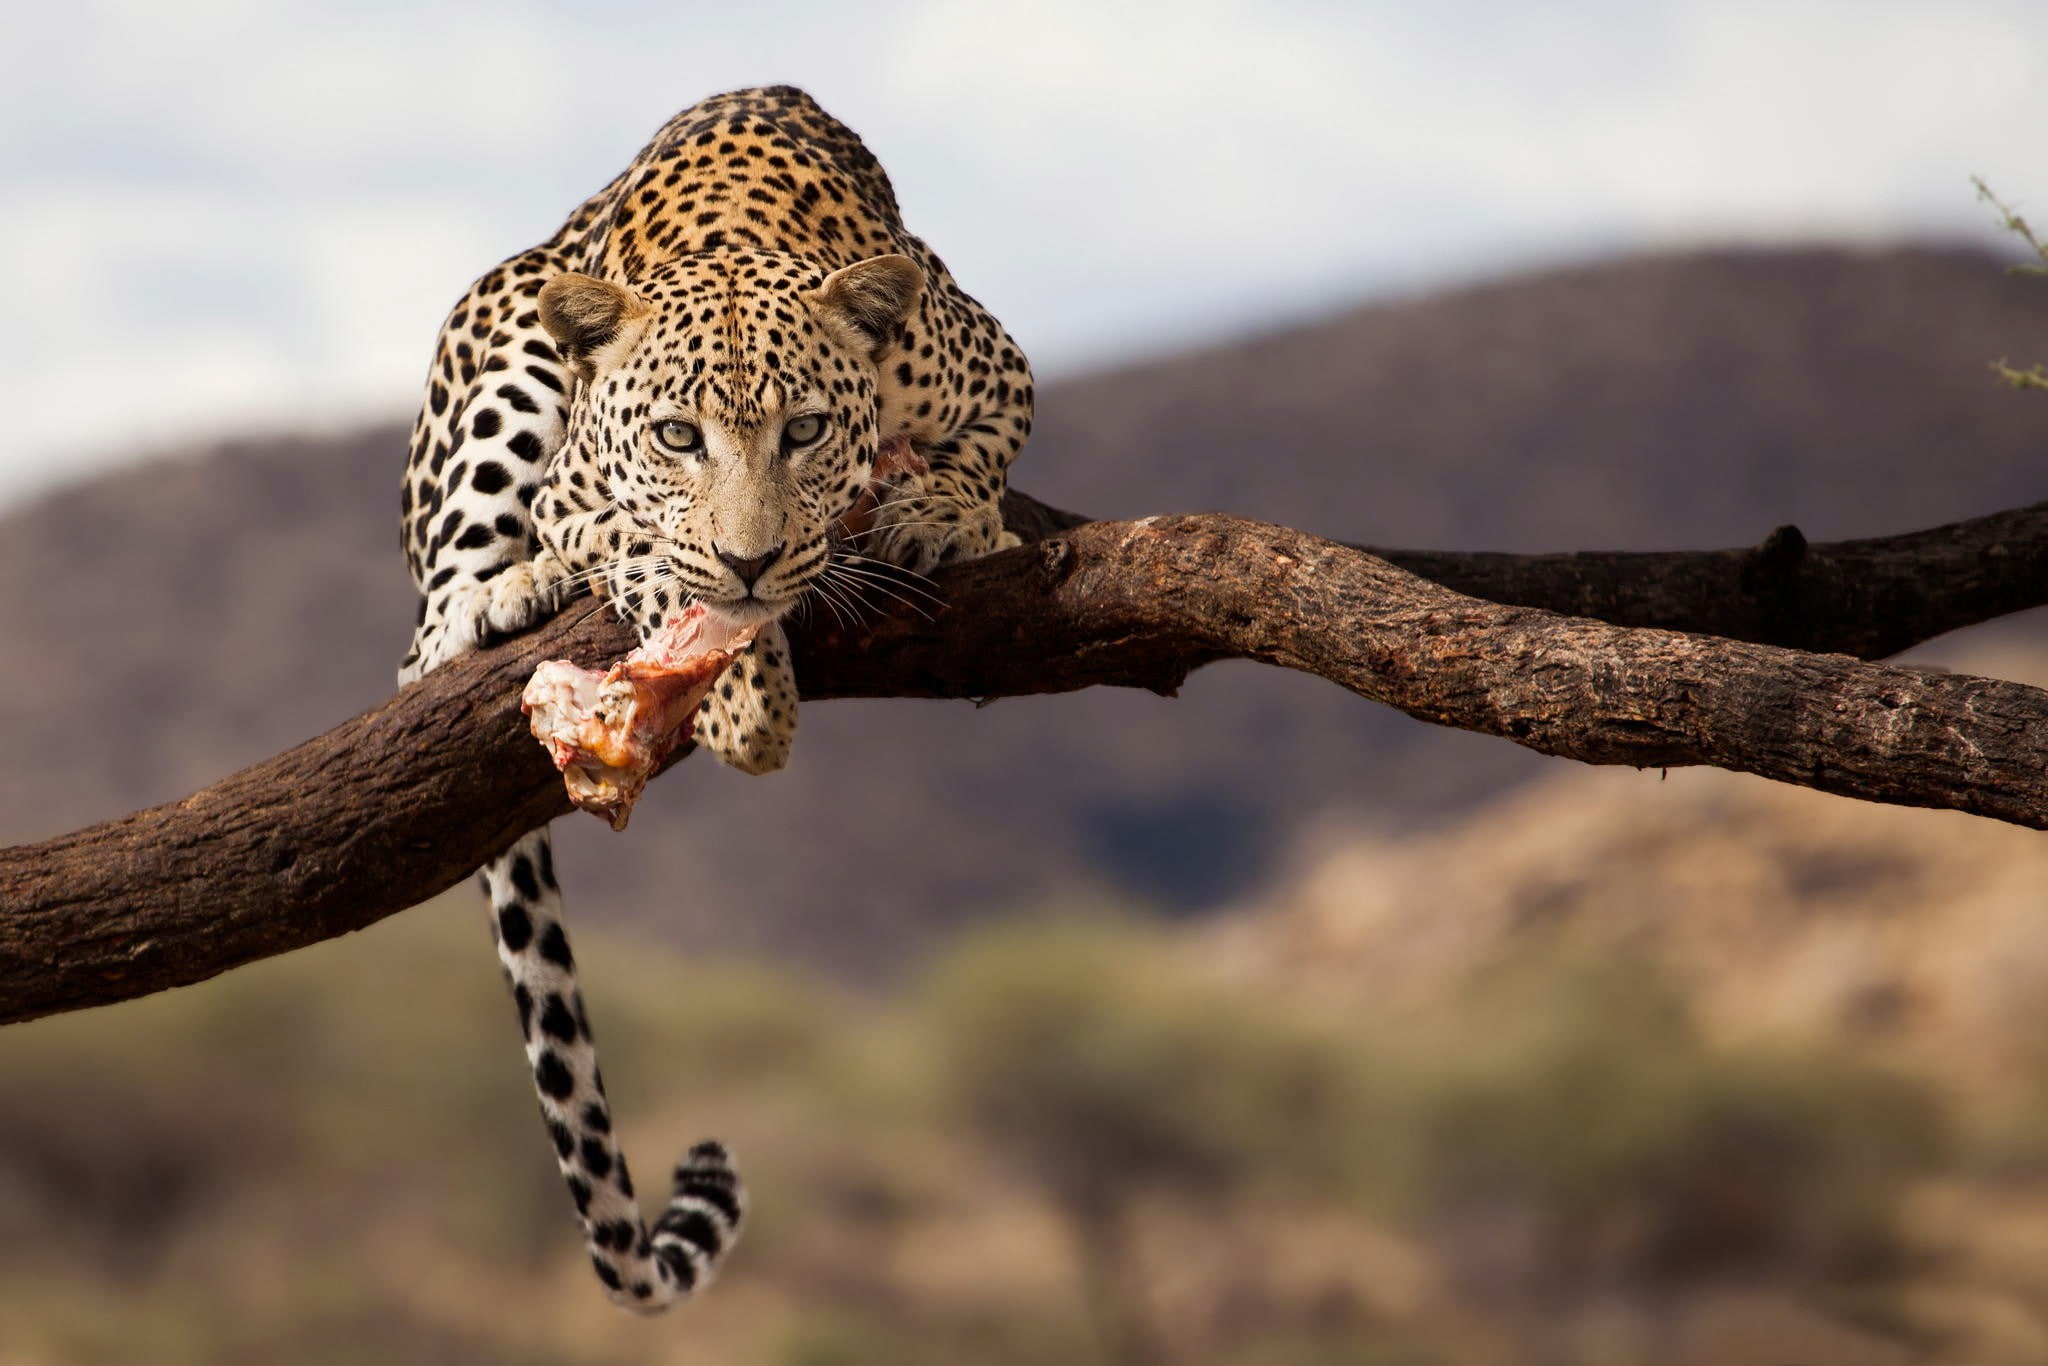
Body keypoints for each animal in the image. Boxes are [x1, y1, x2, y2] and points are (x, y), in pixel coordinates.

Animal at [395, 86, 1033, 1313]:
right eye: (677, 436)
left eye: (807, 429)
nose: (754, 556)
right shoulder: (582, 498)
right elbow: (644, 553)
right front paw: (742, 688)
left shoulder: (999, 371)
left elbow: (978, 456)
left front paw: (942, 514)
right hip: (505, 356)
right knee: (421, 647)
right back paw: (502, 597)